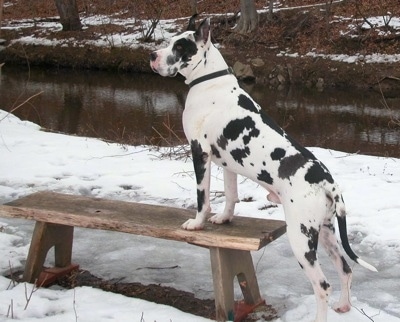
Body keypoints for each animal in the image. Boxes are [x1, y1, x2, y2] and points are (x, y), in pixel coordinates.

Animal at [149, 17, 376, 322]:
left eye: (179, 47)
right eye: (170, 42)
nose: (152, 56)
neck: (209, 81)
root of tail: (328, 183)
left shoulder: (200, 153)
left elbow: (202, 198)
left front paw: (197, 223)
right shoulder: (227, 163)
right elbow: (230, 196)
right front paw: (224, 219)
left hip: (301, 240)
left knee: (322, 285)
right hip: (327, 232)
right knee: (345, 269)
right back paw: (343, 306)